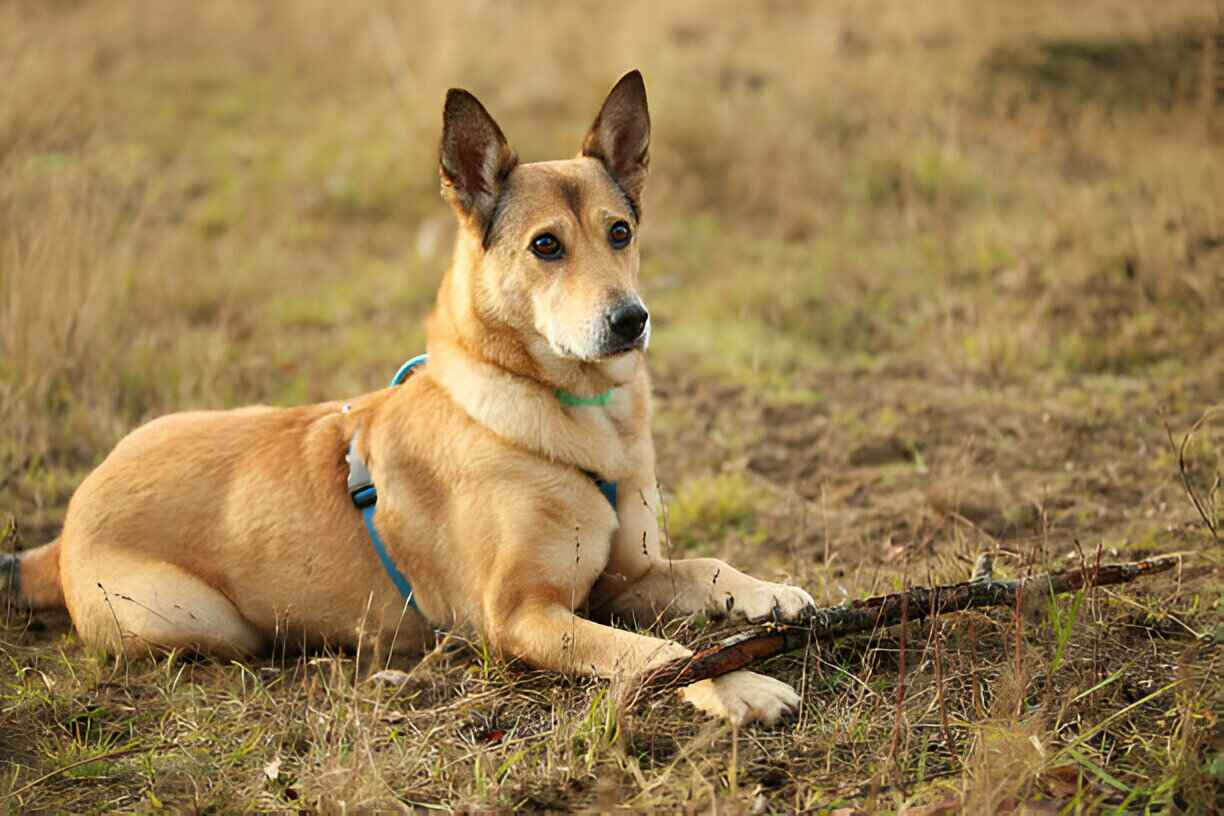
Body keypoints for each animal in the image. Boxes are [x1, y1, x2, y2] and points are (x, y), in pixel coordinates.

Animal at [7, 70, 822, 719]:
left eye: (619, 232)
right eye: (546, 246)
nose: (631, 320)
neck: (565, 417)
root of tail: (69, 520)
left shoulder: (624, 577)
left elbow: (705, 568)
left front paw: (767, 591)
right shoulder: (522, 615)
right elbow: (657, 654)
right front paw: (740, 687)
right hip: (199, 618)